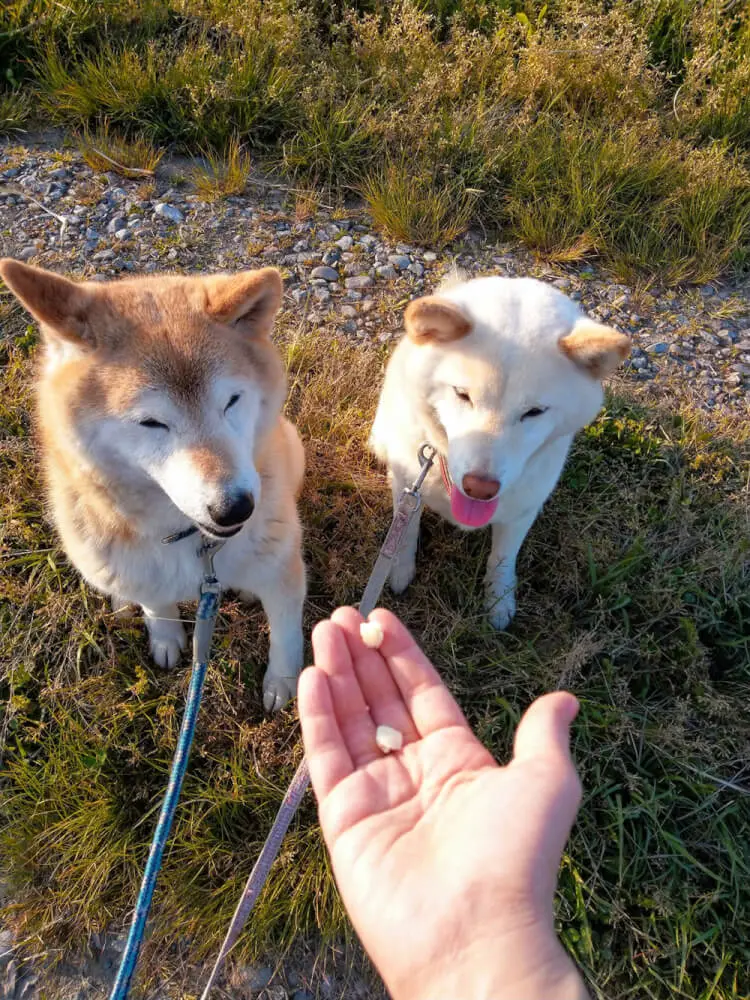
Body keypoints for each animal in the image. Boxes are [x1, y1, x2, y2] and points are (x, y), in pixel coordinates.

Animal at [374, 274, 632, 628]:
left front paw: (498, 601)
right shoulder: (407, 487)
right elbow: (405, 532)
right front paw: (399, 570)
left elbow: (502, 558)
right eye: (462, 394)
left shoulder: (522, 510)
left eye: (534, 412)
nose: (480, 487)